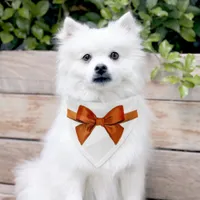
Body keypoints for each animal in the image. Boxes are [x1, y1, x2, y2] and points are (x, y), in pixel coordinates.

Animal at [14, 12, 151, 200]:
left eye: (114, 55)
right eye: (86, 57)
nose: (100, 67)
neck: (101, 109)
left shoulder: (130, 172)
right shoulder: (75, 174)